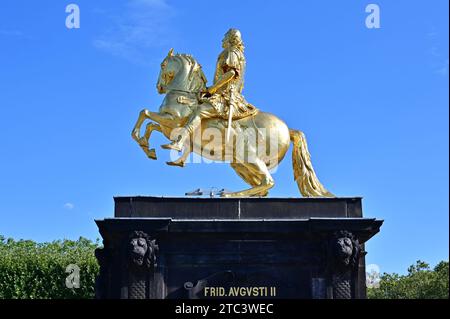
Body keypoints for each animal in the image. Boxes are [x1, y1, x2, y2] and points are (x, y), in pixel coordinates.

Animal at [132, 50, 332, 198]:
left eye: (163, 65)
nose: (159, 87)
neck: (184, 94)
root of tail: (288, 130)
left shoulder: (173, 121)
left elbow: (145, 113)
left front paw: (163, 145)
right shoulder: (167, 127)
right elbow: (150, 124)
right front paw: (148, 148)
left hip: (248, 157)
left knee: (268, 182)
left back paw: (230, 195)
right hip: (240, 163)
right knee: (263, 187)